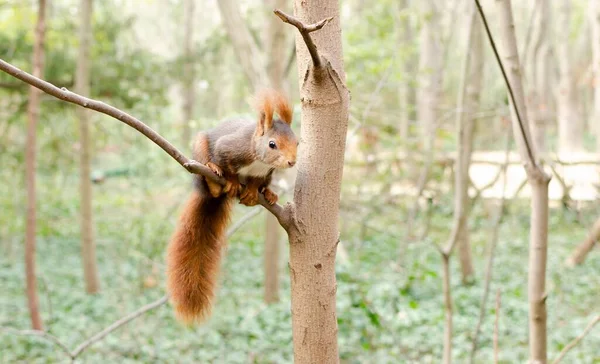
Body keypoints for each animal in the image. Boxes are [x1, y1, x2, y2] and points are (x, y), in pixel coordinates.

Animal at [166, 89, 298, 322]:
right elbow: (228, 167)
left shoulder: (264, 173)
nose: (292, 162)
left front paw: (253, 192)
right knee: (209, 172)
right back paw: (213, 179)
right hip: (200, 149)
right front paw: (234, 182)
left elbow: (255, 182)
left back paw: (269, 194)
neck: (259, 160)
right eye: (272, 144)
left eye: (298, 142)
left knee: (264, 185)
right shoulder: (229, 147)